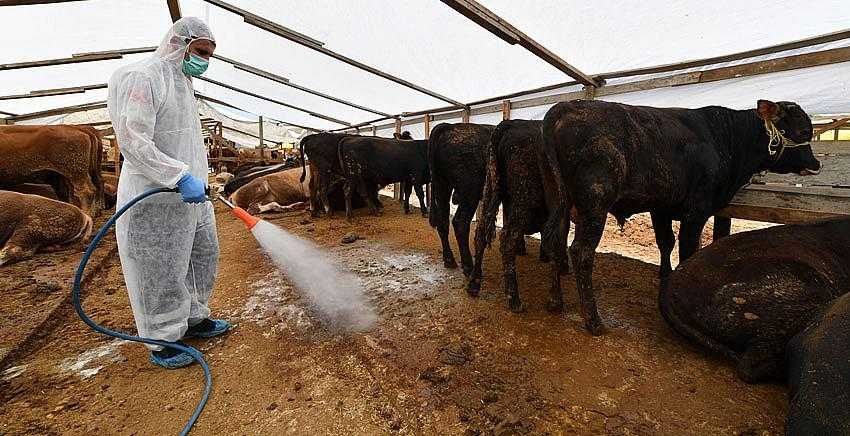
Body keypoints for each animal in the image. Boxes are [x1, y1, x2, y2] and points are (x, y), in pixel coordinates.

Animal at [428, 121, 494, 274]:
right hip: (470, 191)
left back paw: (449, 260)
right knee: (460, 222)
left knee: (443, 221)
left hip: (442, 185)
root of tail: (449, 126)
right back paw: (468, 266)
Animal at [464, 118, 568, 310]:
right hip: (525, 197)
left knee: (480, 233)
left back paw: (474, 284)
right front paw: (555, 299)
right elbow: (557, 244)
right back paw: (514, 300)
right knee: (508, 237)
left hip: (489, 188)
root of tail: (511, 123)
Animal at [536, 99, 820, 334]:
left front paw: (665, 275)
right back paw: (593, 321)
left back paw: (554, 301)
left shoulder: (660, 208)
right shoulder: (696, 211)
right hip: (595, 204)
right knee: (581, 251)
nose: (817, 164)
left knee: (555, 239)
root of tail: (564, 107)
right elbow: (688, 250)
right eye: (804, 132)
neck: (726, 139)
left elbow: (666, 243)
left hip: (558, 200)